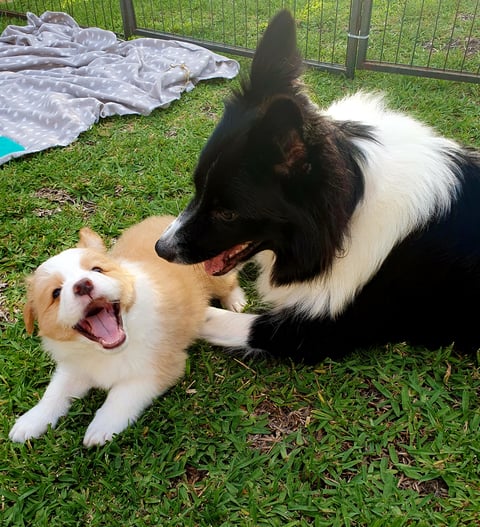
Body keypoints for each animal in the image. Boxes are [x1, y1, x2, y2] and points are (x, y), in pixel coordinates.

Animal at [9, 217, 246, 448]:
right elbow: (55, 392)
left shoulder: (159, 368)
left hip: (215, 273)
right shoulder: (75, 367)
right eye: (56, 293)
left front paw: (102, 426)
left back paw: (236, 301)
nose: (83, 285)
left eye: (97, 270)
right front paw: (30, 421)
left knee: (229, 282)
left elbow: (121, 395)